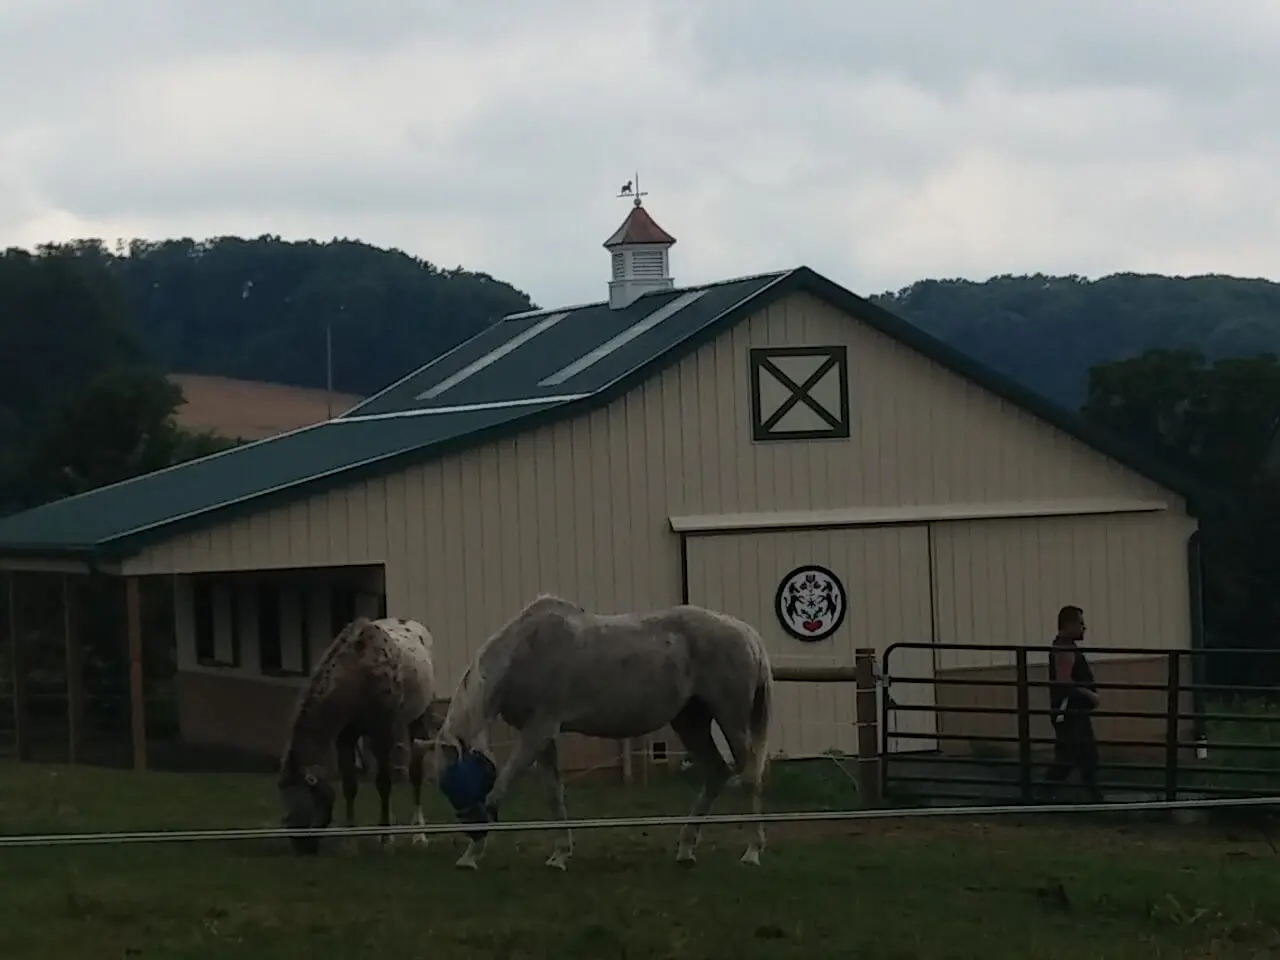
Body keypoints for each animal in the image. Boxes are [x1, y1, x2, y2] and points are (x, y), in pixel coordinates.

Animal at [277, 616, 437, 855]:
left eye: (305, 800)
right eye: (286, 804)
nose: (301, 847)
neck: (358, 675)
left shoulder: (383, 734)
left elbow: (384, 784)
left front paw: (386, 840)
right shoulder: (345, 738)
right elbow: (350, 786)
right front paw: (350, 842)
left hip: (419, 720)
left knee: (416, 774)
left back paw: (419, 835)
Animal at [419, 593, 773, 870]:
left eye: (453, 784)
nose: (473, 831)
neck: (525, 651)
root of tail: (749, 635)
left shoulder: (538, 731)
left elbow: (499, 790)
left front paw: (471, 855)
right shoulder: (542, 736)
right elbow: (553, 793)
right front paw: (559, 855)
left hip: (730, 719)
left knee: (750, 776)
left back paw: (752, 851)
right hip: (690, 721)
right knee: (716, 772)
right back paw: (686, 849)